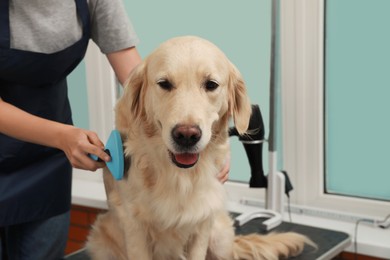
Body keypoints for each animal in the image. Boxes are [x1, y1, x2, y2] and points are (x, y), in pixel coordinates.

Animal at [87, 35, 312, 258]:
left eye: (211, 84)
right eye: (164, 84)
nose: (186, 136)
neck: (180, 176)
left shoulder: (203, 220)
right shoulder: (134, 227)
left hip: (220, 238)